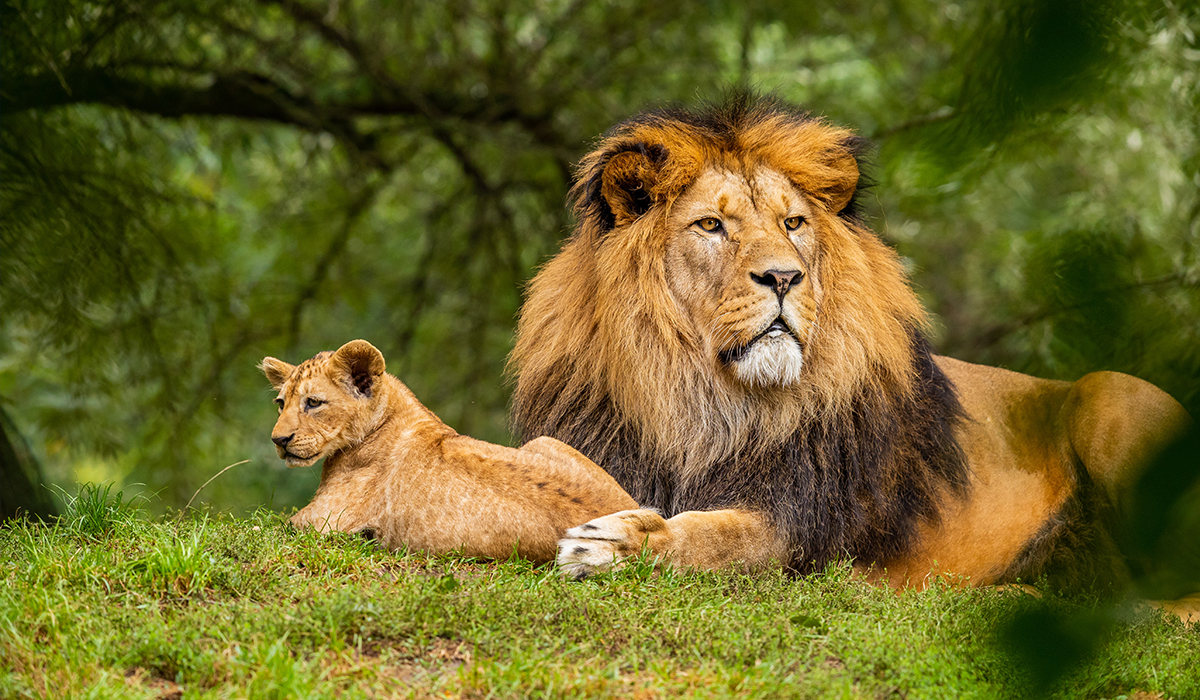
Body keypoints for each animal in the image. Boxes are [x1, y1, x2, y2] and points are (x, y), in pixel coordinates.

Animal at [260, 336, 638, 561]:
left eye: (313, 402)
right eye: (280, 403)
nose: (278, 440)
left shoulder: (320, 522)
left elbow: (268, 527)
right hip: (544, 440)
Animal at [511, 90, 1195, 600]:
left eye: (793, 223)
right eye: (711, 225)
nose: (784, 277)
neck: (703, 401)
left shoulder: (802, 524)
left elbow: (715, 537)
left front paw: (614, 544)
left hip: (1110, 396)